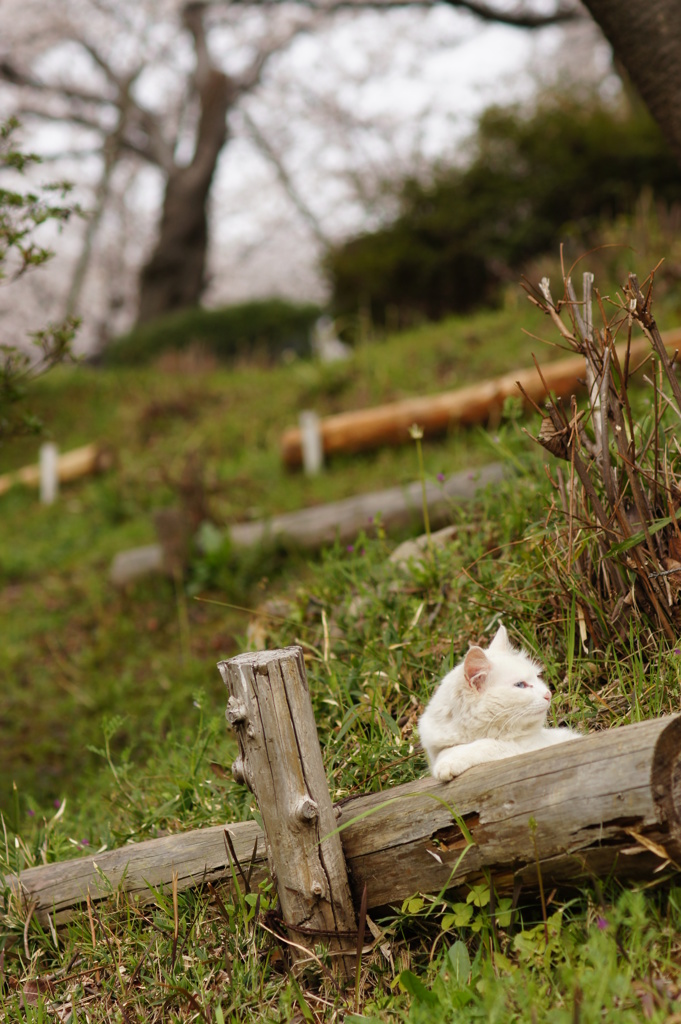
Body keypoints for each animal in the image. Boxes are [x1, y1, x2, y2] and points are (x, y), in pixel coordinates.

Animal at [417, 622, 577, 782]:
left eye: (537, 677)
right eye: (520, 685)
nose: (548, 694)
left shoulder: (526, 747)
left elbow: (487, 745)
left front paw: (449, 762)